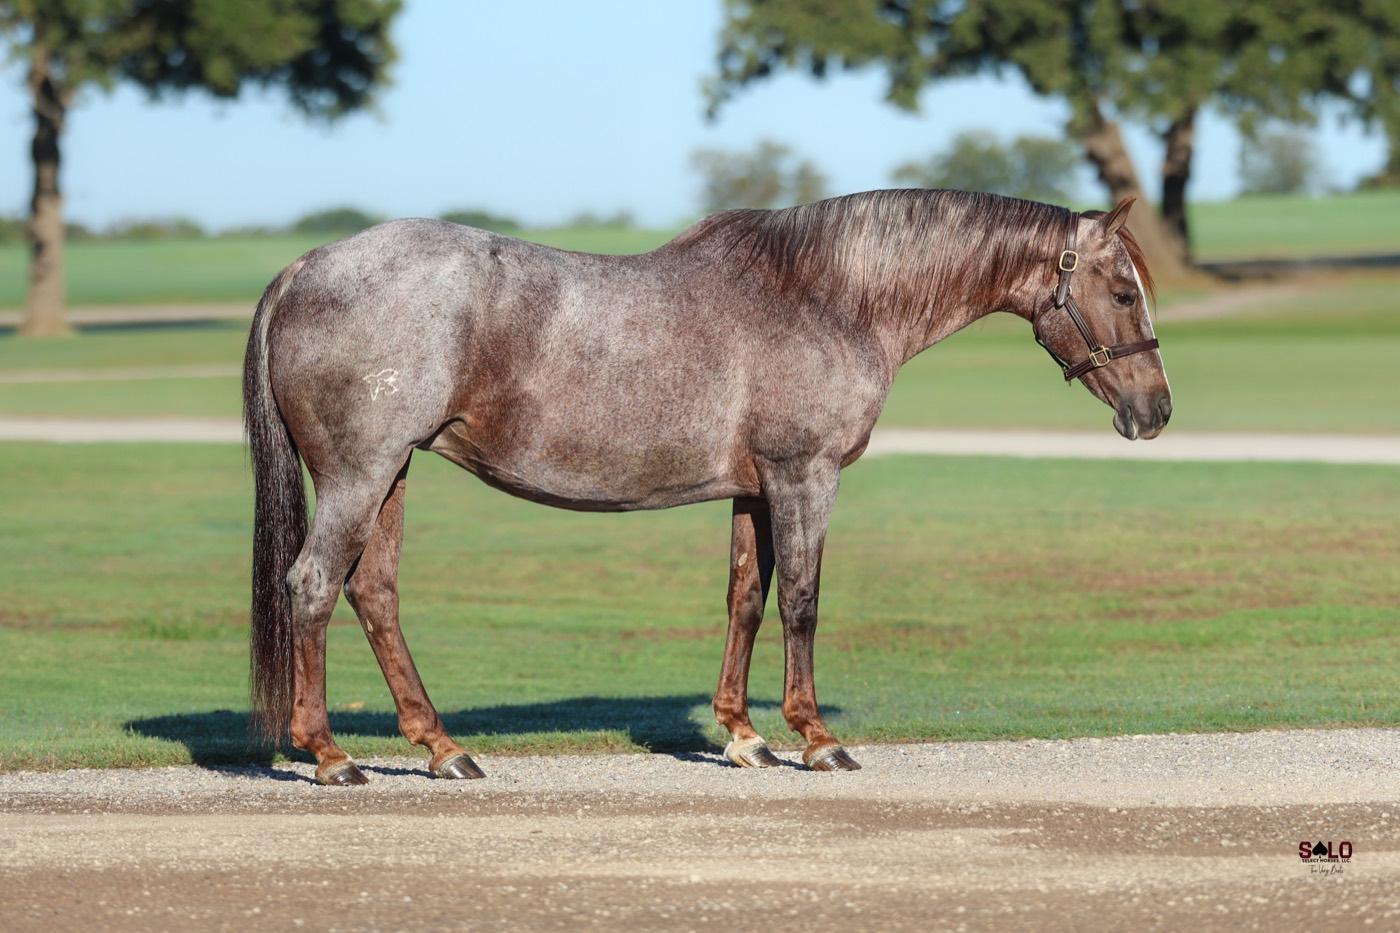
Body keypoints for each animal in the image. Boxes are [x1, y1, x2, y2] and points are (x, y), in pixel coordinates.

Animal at [243, 188, 1171, 785]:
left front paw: (743, 737)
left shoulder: (755, 489)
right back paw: (330, 755)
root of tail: (306, 267)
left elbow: (745, 598)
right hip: (362, 474)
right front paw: (815, 737)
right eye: (1125, 291)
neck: (828, 296)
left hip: (394, 472)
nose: (1157, 410)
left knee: (375, 592)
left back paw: (443, 748)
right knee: (315, 585)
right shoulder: (804, 476)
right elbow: (801, 599)